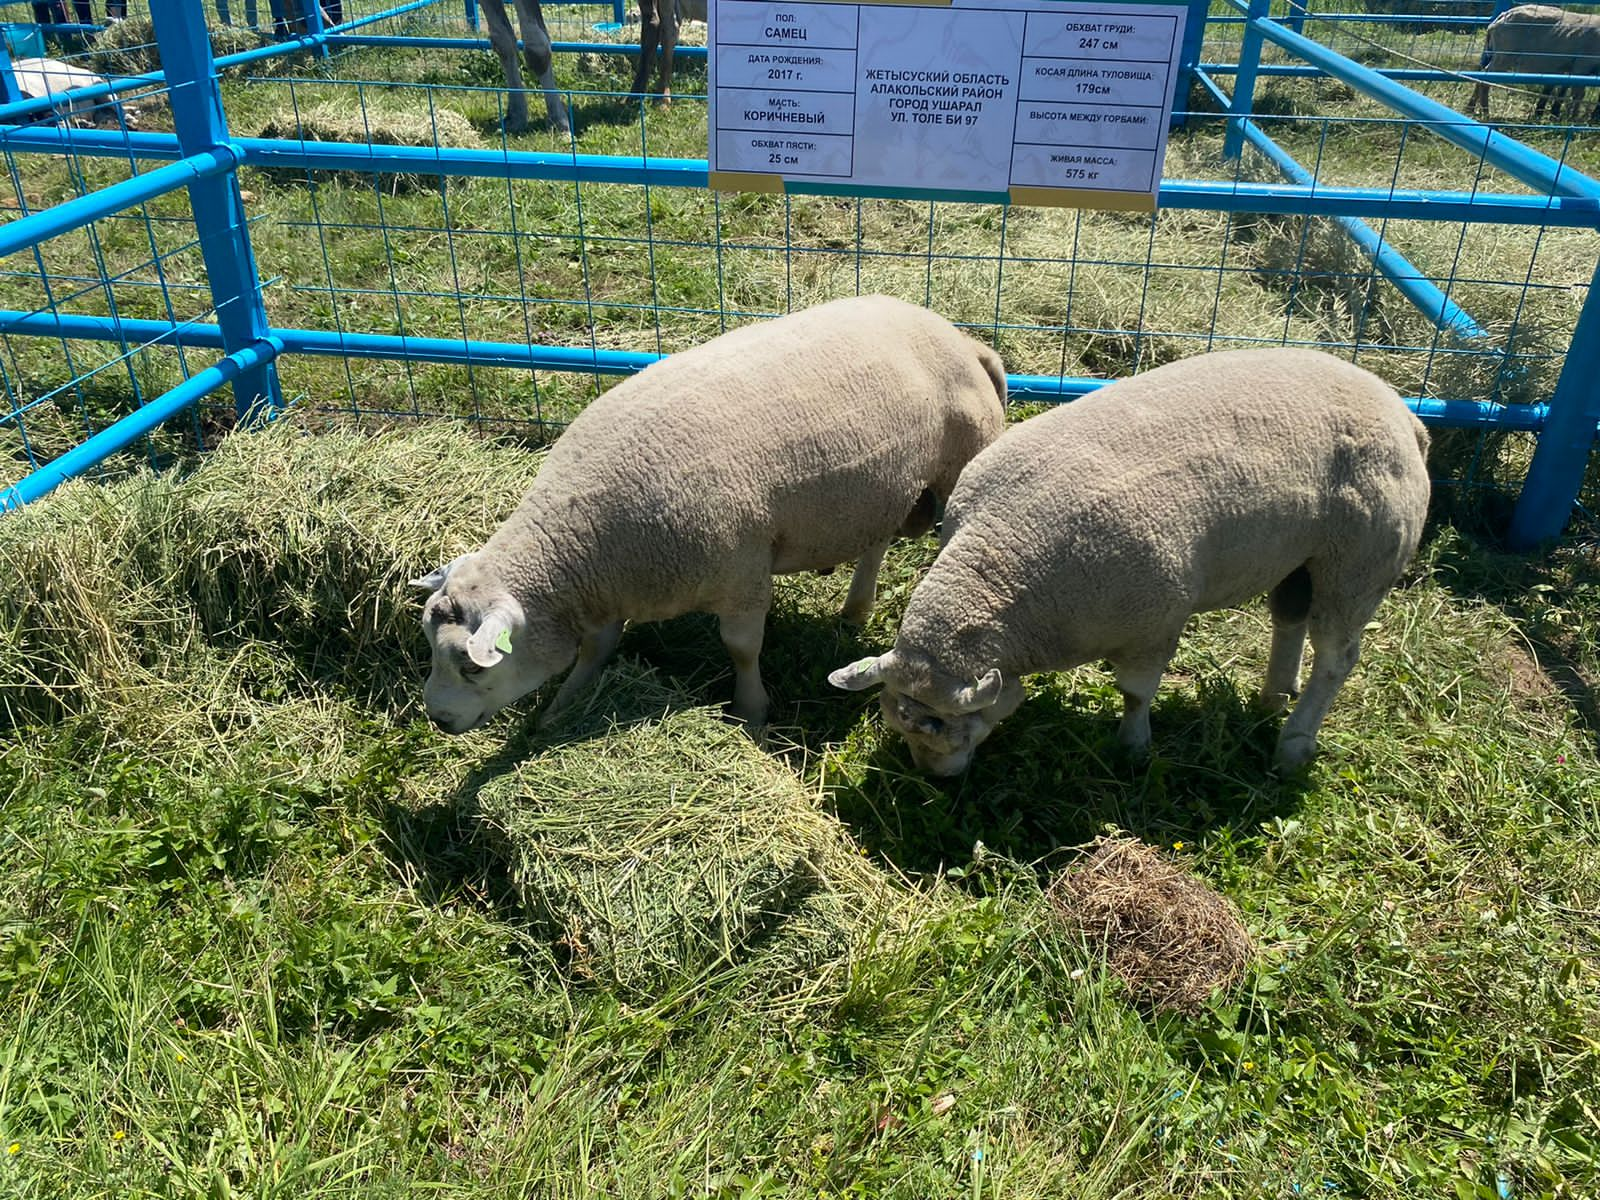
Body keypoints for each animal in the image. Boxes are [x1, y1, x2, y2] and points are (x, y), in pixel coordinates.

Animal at [416, 296, 1011, 739]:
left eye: (469, 665)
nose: (438, 720)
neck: (579, 542)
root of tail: (966, 341)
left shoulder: (740, 573)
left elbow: (742, 648)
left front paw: (750, 711)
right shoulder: (605, 590)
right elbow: (595, 650)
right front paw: (564, 705)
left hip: (956, 466)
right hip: (881, 489)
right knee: (877, 541)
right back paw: (855, 609)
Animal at [832, 347, 1433, 780]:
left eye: (954, 727)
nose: (936, 779)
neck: (1003, 564)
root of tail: (1403, 412)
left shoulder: (1154, 620)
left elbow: (1136, 692)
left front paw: (1133, 748)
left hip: (1360, 560)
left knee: (1337, 658)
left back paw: (1294, 743)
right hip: (1302, 557)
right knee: (1289, 617)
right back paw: (1273, 695)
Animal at [1465, 4, 1600, 124]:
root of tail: (1501, 17)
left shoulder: (1569, 68)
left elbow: (1562, 89)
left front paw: (1553, 114)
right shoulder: (1582, 66)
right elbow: (1578, 93)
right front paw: (1572, 119)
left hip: (1496, 54)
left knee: (1481, 75)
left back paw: (1471, 107)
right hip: (1505, 55)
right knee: (1486, 79)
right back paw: (1485, 112)